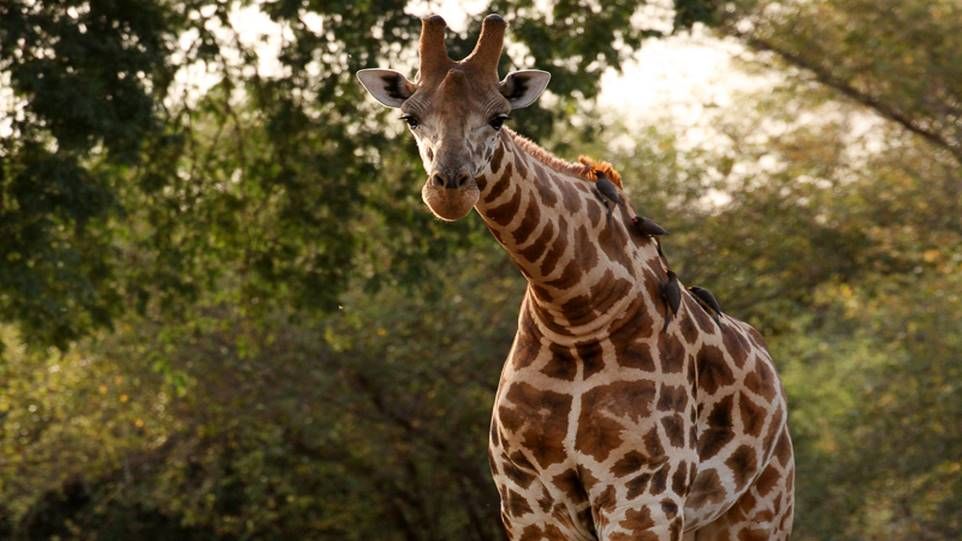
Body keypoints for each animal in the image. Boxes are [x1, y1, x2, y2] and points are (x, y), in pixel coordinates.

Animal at [357, 14, 794, 541]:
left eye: (499, 118)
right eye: (411, 118)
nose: (450, 189)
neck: (573, 309)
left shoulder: (641, 494)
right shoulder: (528, 503)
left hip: (759, 509)